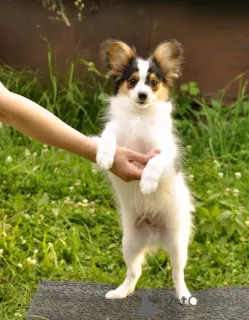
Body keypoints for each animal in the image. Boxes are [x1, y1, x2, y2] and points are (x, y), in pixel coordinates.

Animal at [95, 39, 196, 304]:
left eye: (153, 83)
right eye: (132, 81)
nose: (142, 95)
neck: (138, 118)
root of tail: (155, 236)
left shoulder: (165, 151)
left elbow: (155, 162)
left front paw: (148, 183)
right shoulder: (115, 131)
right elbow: (107, 138)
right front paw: (104, 157)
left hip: (178, 242)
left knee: (177, 274)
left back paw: (184, 296)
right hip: (130, 243)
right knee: (134, 272)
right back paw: (120, 292)